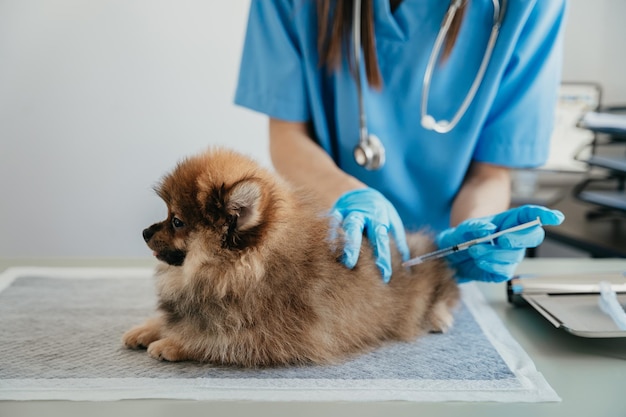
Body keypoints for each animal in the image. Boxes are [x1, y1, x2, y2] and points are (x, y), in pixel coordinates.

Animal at [122, 148, 456, 366]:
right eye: (168, 215)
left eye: (177, 221)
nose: (145, 232)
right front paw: (149, 328)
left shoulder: (277, 337)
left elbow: (217, 340)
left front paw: (172, 342)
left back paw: (439, 316)